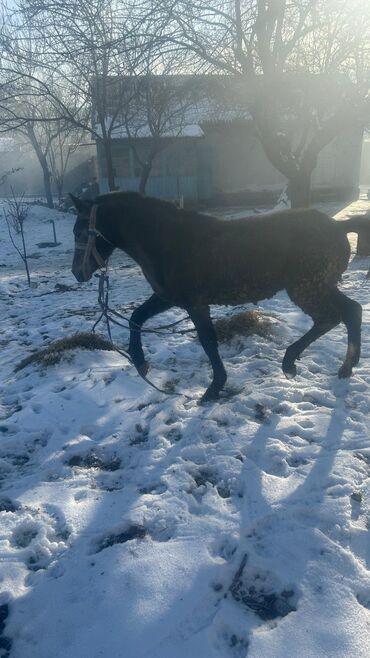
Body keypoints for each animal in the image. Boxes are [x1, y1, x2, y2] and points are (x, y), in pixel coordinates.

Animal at [71, 191, 368, 400]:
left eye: (80, 231)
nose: (77, 272)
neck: (168, 241)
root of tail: (338, 226)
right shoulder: (168, 298)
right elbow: (136, 317)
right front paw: (140, 362)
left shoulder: (195, 304)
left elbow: (208, 342)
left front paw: (214, 389)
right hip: (319, 287)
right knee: (350, 311)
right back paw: (344, 368)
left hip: (307, 288)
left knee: (331, 317)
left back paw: (291, 363)